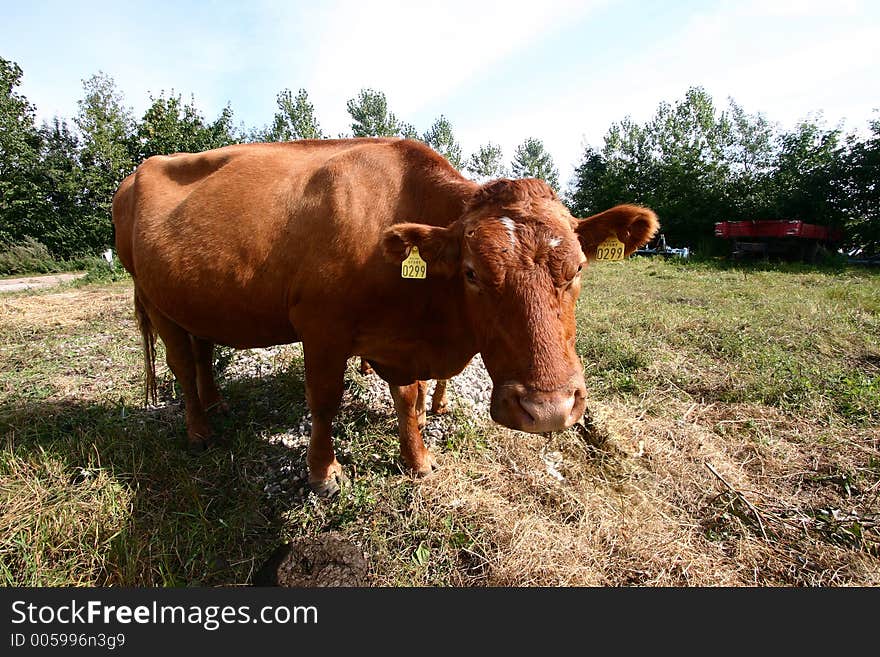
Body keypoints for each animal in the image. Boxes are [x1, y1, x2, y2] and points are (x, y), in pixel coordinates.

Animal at [110, 140, 656, 498]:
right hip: (155, 300)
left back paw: (217, 404)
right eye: (472, 272)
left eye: (579, 267)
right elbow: (325, 402)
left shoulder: (398, 343)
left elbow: (408, 400)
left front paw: (417, 461)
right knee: (182, 365)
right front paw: (323, 472)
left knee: (203, 352)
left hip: (194, 299)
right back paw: (199, 431)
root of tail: (136, 173)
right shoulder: (323, 332)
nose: (548, 410)